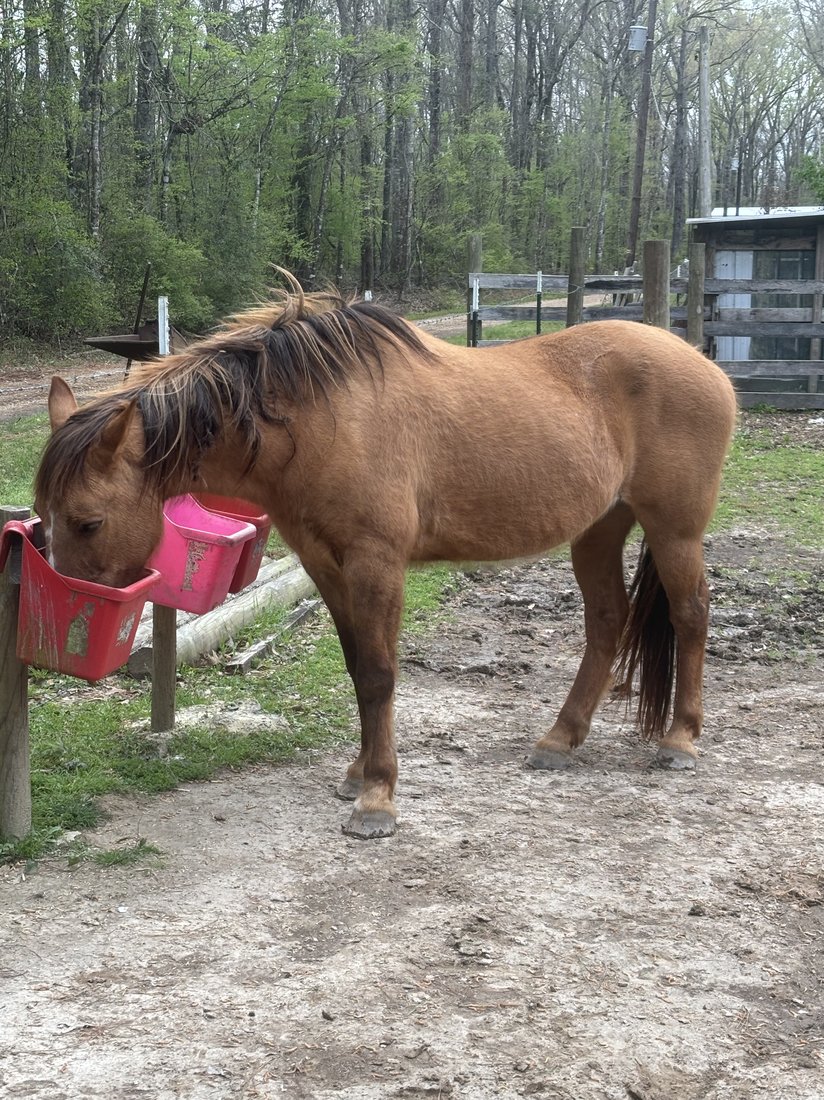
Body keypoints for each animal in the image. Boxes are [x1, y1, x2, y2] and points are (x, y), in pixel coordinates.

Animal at [34, 274, 737, 840]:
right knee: (607, 622)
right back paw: (560, 739)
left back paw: (681, 740)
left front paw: (377, 800)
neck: (321, 419)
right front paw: (358, 774)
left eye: (88, 521)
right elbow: (357, 670)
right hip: (597, 529)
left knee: (691, 615)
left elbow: (379, 675)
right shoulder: (326, 564)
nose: (68, 627)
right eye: (43, 518)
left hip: (673, 530)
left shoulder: (377, 564)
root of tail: (706, 367)